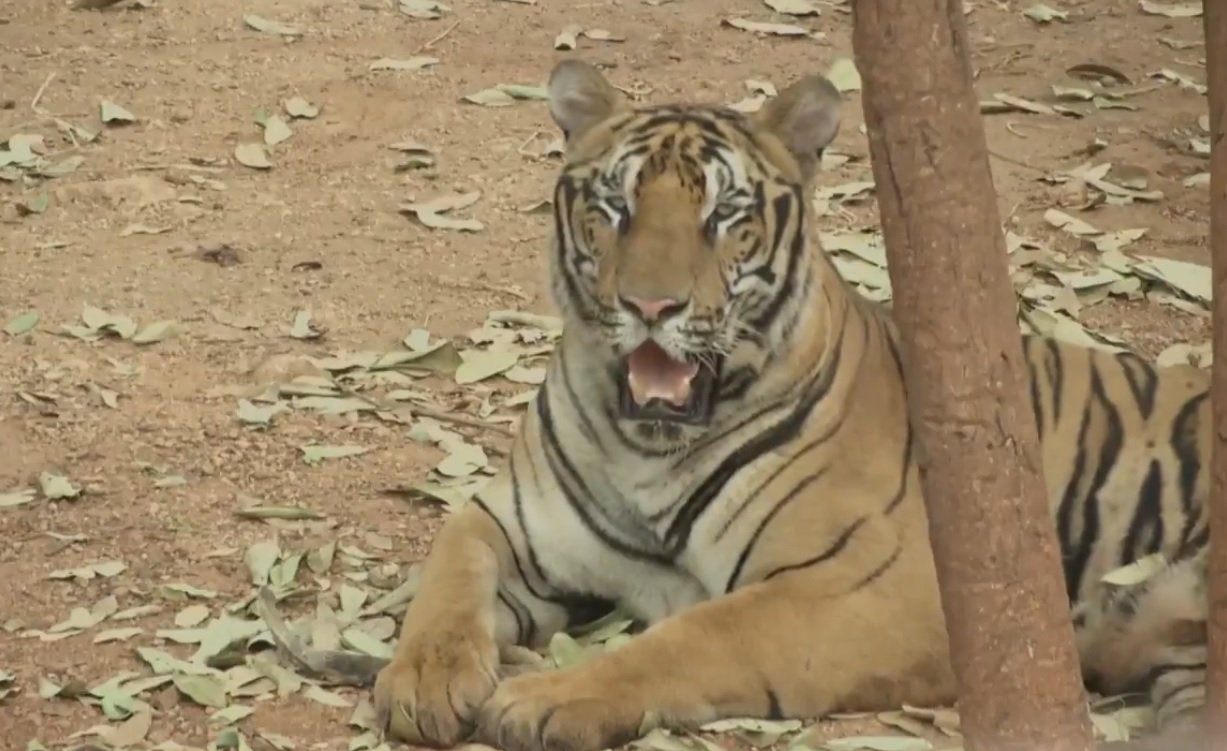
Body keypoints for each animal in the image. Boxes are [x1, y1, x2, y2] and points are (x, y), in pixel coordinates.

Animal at [368, 60, 1212, 751]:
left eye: (722, 216)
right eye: (614, 208)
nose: (650, 306)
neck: (649, 443)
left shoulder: (874, 585)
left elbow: (698, 633)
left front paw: (541, 697)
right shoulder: (515, 519)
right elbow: (449, 568)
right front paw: (424, 680)